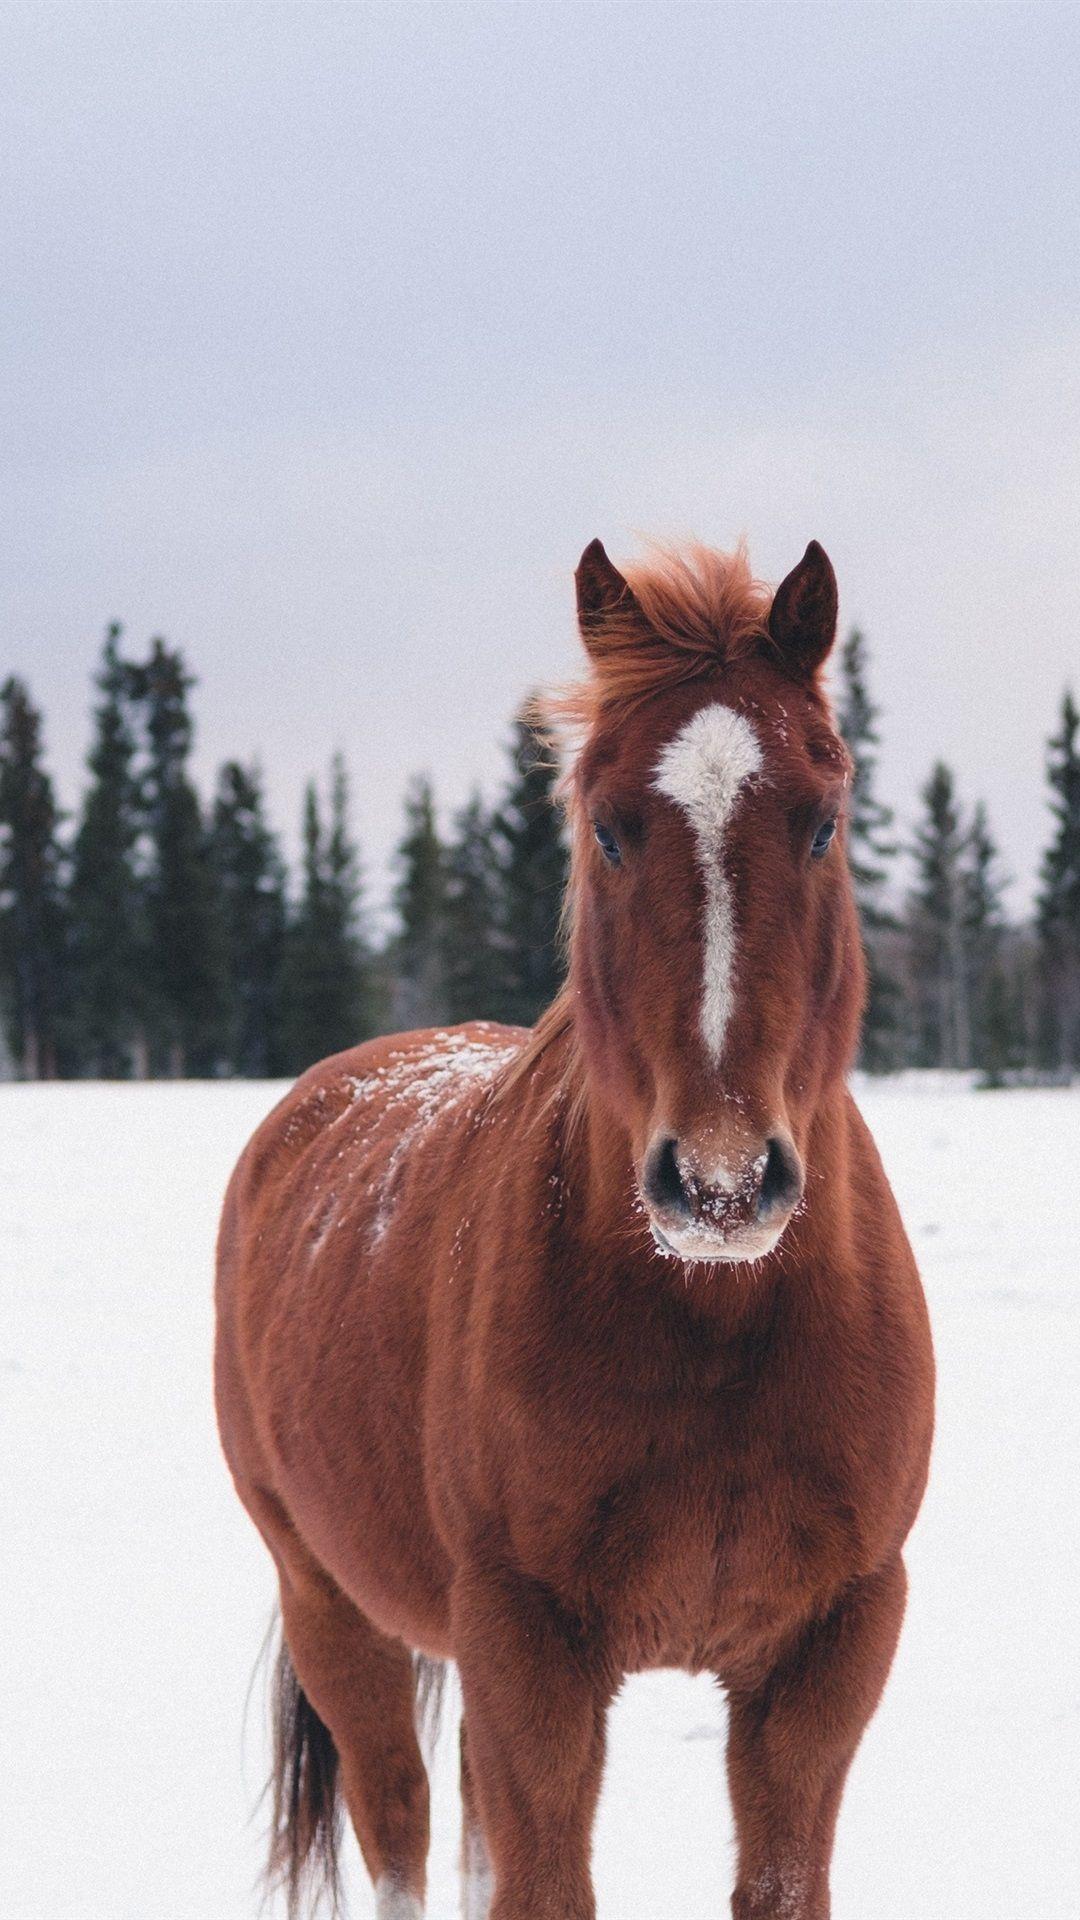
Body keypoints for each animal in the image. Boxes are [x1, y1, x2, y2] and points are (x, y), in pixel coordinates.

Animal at [214, 534, 934, 1920]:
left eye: (823, 820)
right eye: (606, 826)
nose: (720, 1183)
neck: (716, 1331)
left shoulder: (828, 1654)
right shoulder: (526, 1649)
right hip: (333, 1606)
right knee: (400, 1826)